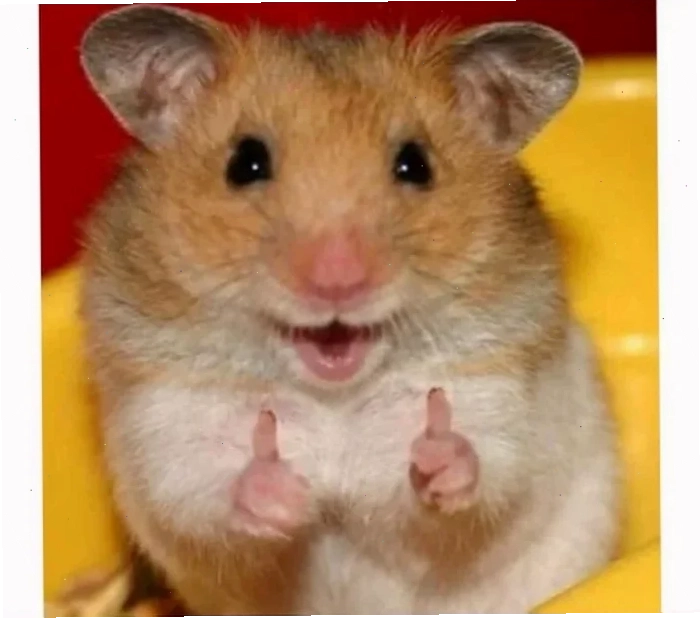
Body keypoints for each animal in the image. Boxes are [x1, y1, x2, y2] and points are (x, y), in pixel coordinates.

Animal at [78, 5, 621, 615]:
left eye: (416, 164)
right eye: (245, 162)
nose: (337, 281)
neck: (332, 397)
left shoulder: (501, 400)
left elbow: (485, 475)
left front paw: (435, 452)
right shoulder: (168, 425)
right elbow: (205, 493)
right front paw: (285, 491)